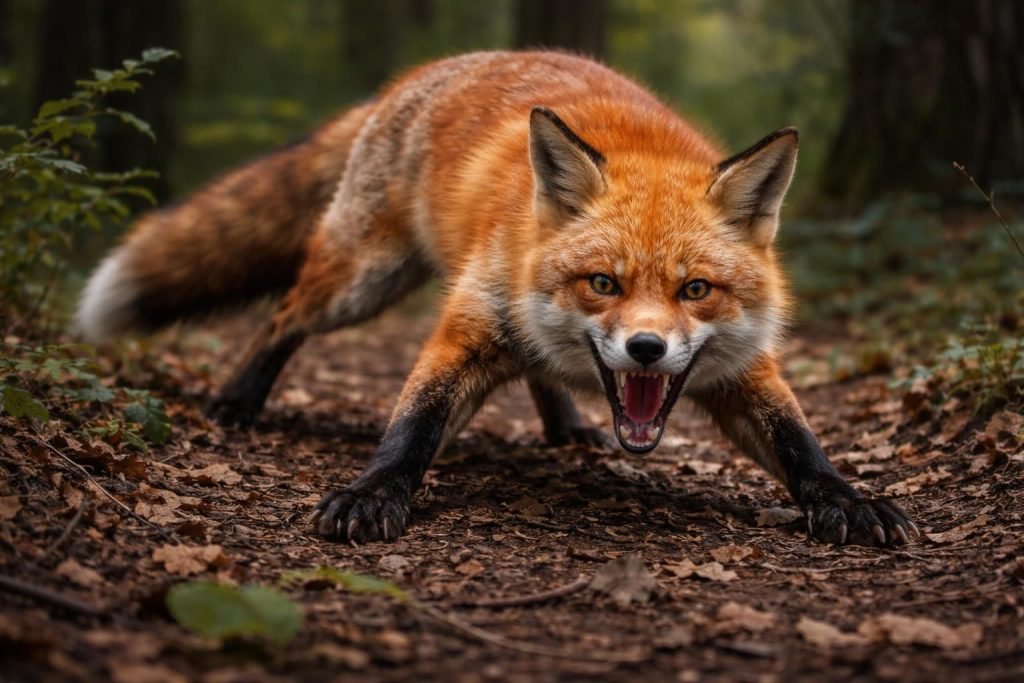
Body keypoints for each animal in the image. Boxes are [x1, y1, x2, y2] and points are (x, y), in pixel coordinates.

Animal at [77, 51, 917, 547]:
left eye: (695, 290)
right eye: (604, 283)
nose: (646, 348)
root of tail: (419, 75)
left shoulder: (744, 370)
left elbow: (799, 442)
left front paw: (847, 498)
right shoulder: (467, 326)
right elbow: (413, 425)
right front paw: (372, 491)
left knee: (540, 370)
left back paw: (567, 424)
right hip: (361, 282)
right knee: (283, 314)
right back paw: (239, 397)